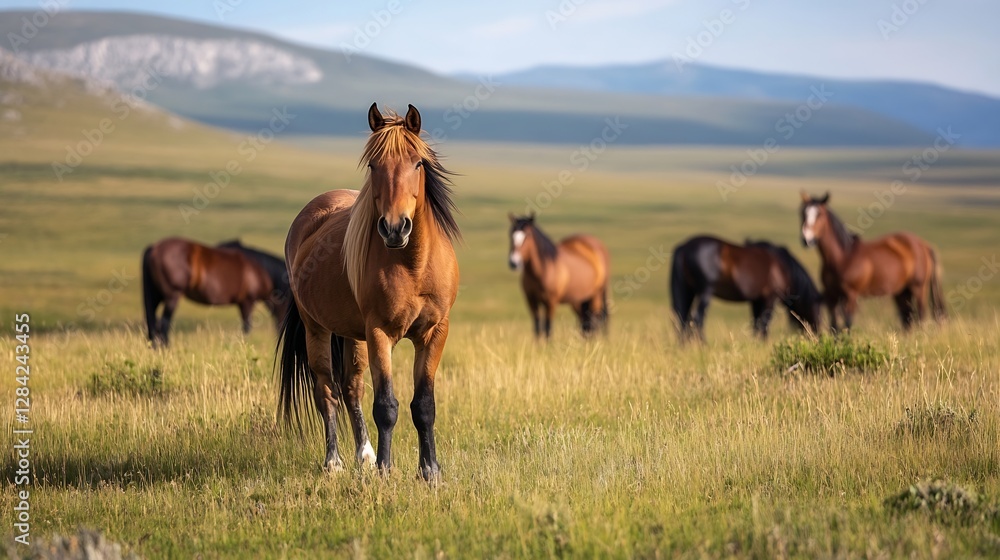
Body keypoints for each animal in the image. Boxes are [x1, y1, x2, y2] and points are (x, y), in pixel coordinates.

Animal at [141, 237, 289, 347]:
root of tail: (154, 248)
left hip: (156, 296)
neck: (260, 269)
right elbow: (247, 327)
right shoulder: (247, 302)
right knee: (164, 324)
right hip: (172, 297)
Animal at [277, 103, 460, 481]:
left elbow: (424, 405)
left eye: (417, 163)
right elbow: (386, 406)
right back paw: (334, 462)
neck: (413, 264)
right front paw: (385, 471)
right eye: (374, 166)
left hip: (352, 334)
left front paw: (430, 471)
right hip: (316, 328)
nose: (394, 228)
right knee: (327, 391)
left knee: (351, 387)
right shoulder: (379, 333)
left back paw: (364, 454)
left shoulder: (435, 332)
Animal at [669, 235, 822, 342]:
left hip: (687, 291)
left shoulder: (756, 300)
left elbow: (756, 324)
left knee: (682, 319)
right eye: (818, 312)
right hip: (705, 292)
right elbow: (764, 324)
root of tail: (683, 247)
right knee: (697, 318)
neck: (783, 267)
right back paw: (703, 344)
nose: (816, 336)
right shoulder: (770, 298)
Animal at [799, 191, 945, 331]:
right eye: (802, 213)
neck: (842, 258)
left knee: (920, 315)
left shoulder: (851, 296)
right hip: (902, 292)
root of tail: (924, 245)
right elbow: (834, 327)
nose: (806, 239)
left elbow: (847, 324)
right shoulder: (832, 297)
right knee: (907, 320)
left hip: (918, 288)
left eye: (819, 214)